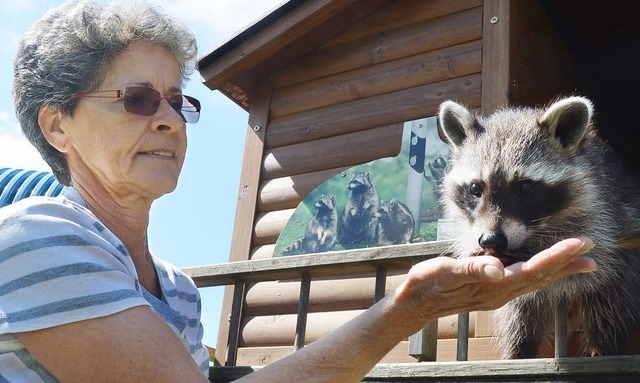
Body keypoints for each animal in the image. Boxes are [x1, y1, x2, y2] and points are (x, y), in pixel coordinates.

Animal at [438, 97, 640, 360]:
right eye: (475, 188)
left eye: (524, 187)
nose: (491, 240)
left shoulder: (608, 208)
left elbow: (598, 250)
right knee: (520, 316)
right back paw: (519, 350)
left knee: (613, 299)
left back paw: (604, 347)